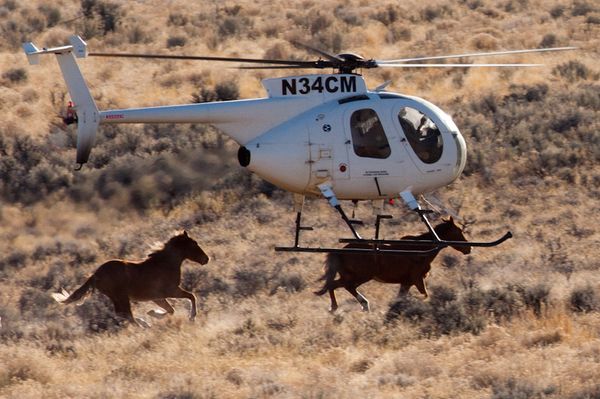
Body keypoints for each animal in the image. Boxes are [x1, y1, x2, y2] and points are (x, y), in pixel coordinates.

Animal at [52, 231, 211, 324]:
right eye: (194, 244)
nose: (206, 259)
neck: (165, 263)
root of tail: (96, 274)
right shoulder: (170, 290)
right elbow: (191, 296)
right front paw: (192, 317)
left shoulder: (157, 297)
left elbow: (171, 310)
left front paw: (152, 313)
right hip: (121, 297)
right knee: (127, 315)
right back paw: (144, 325)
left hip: (117, 298)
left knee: (123, 315)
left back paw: (143, 322)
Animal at [312, 217, 472, 314]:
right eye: (458, 231)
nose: (468, 248)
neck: (421, 249)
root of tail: (339, 251)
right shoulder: (417, 279)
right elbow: (425, 295)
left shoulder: (406, 282)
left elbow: (402, 297)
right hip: (360, 276)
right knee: (338, 285)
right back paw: (345, 307)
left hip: (353, 276)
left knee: (338, 286)